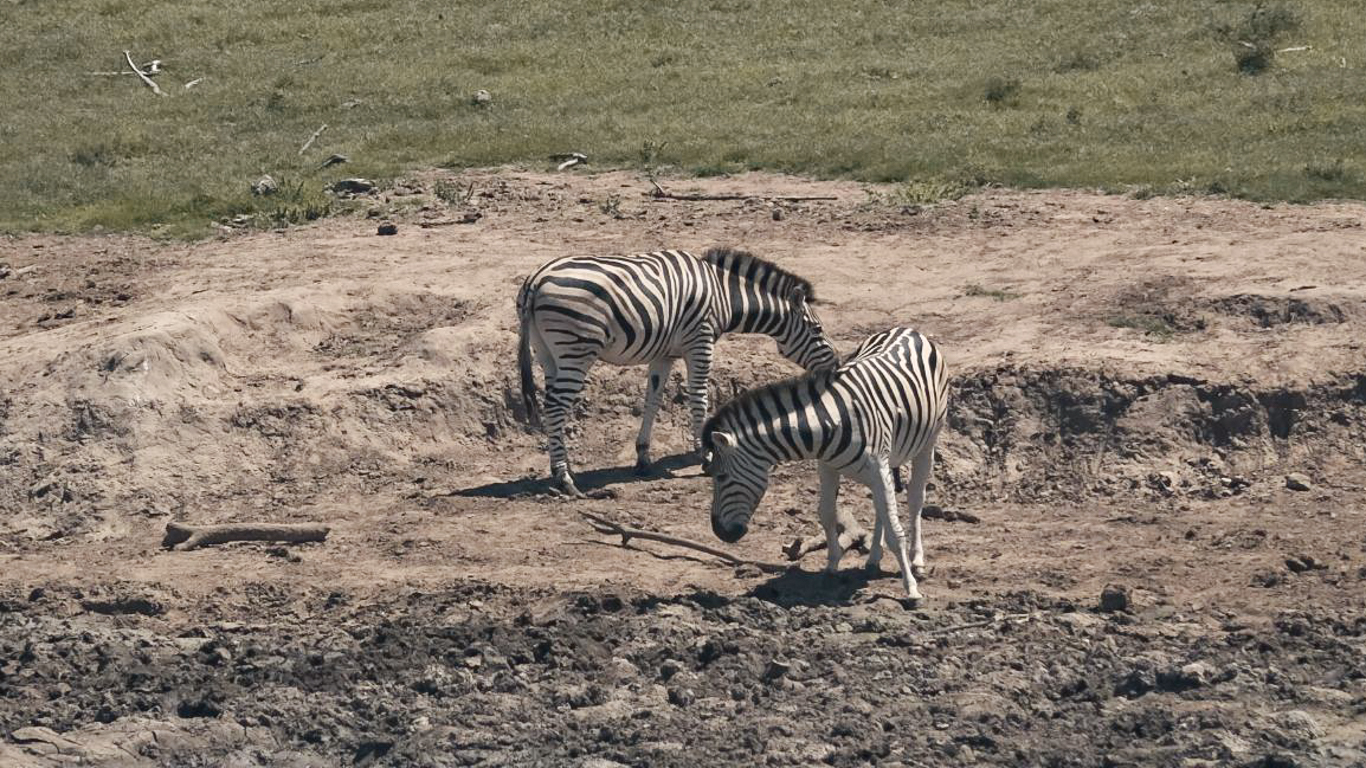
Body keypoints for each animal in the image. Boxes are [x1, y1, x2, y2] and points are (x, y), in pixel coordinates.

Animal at [513, 245, 830, 497]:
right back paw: (564, 478)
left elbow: (652, 400)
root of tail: (536, 279)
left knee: (550, 404)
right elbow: (698, 398)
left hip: (548, 352)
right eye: (817, 330)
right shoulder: (700, 341)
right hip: (576, 349)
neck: (723, 295)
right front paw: (706, 456)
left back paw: (560, 471)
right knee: (555, 407)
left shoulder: (664, 355)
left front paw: (643, 458)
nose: (834, 365)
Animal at [704, 322, 950, 598]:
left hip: (928, 440)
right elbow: (827, 514)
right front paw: (831, 567)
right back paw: (873, 559)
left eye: (721, 477)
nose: (720, 532)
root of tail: (908, 330)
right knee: (881, 509)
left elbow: (896, 531)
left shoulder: (877, 467)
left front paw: (911, 589)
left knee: (916, 498)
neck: (832, 420)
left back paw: (917, 561)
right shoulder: (829, 466)